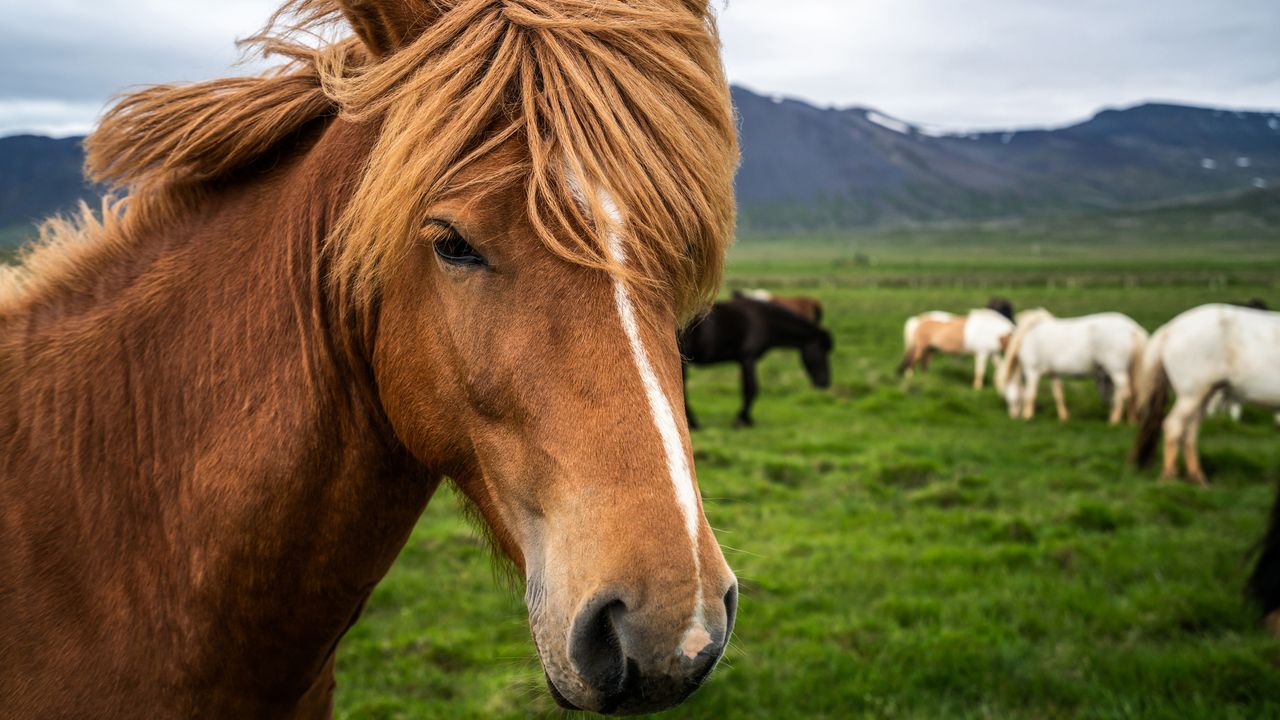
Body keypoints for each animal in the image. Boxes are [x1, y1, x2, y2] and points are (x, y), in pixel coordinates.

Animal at [679, 294, 833, 428]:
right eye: (823, 351)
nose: (824, 382)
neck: (765, 320)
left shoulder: (744, 361)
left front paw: (746, 419)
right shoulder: (748, 359)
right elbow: (751, 389)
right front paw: (742, 419)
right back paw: (694, 423)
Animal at [996, 309, 1148, 424]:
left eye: (1005, 391)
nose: (1012, 416)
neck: (1025, 337)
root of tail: (1132, 328)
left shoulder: (1032, 370)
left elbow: (1030, 394)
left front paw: (1027, 416)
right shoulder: (1054, 373)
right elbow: (1058, 394)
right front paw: (1064, 417)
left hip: (1116, 370)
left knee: (1124, 392)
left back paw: (1114, 419)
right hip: (1128, 370)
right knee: (1133, 392)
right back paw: (1132, 419)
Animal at [1131, 304, 1280, 485]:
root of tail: (1169, 329)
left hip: (1203, 394)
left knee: (1189, 431)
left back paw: (1197, 478)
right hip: (1191, 393)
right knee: (1174, 425)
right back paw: (1169, 476)